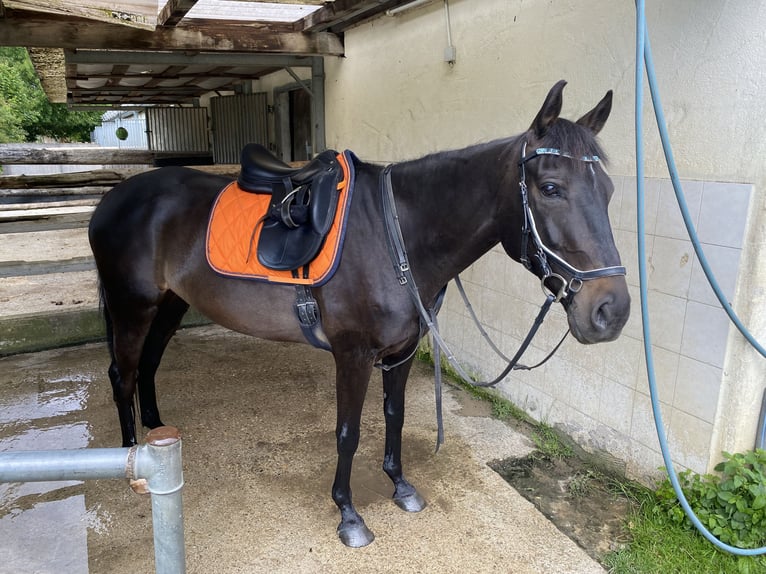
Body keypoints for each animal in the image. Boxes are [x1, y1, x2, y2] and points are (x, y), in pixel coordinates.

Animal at [88, 81, 632, 548]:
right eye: (551, 188)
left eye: (608, 191)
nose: (611, 311)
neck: (398, 236)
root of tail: (113, 198)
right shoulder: (352, 354)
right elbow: (347, 433)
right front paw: (349, 515)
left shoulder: (402, 351)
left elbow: (394, 415)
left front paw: (400, 486)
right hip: (132, 305)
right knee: (123, 372)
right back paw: (132, 463)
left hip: (171, 302)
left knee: (148, 366)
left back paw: (158, 433)